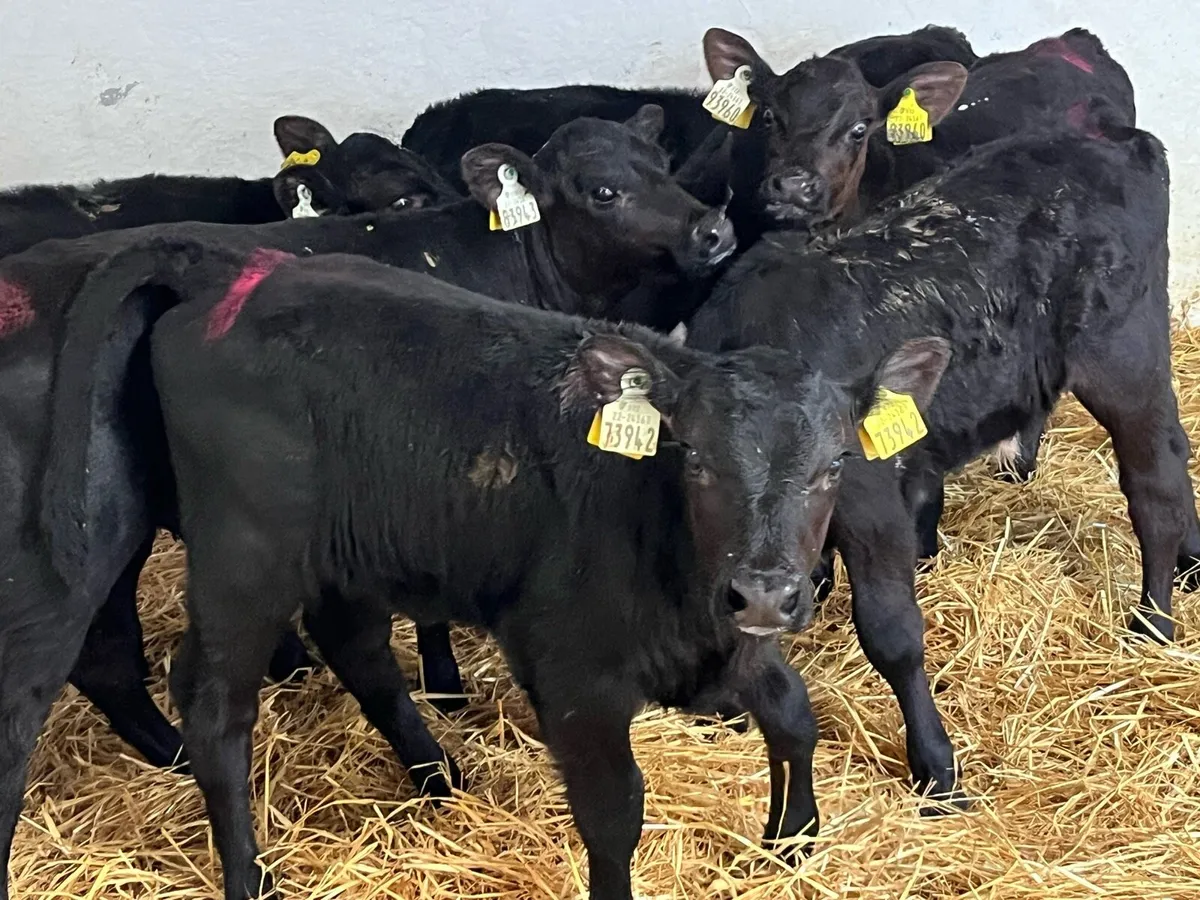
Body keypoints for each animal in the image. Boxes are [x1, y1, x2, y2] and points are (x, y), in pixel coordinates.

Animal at [36, 248, 946, 900]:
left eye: (835, 464)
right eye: (692, 457)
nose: (761, 590)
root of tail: (219, 284)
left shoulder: (729, 643)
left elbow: (794, 716)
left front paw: (792, 839)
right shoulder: (572, 670)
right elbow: (614, 812)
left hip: (344, 554)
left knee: (356, 649)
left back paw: (436, 775)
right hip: (243, 559)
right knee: (213, 705)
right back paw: (249, 877)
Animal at [686, 123, 1198, 813]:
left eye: (826, 466)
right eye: (701, 466)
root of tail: (1119, 137)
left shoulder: (871, 501)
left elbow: (892, 633)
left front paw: (934, 766)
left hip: (1124, 356)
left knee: (1157, 482)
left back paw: (1153, 625)